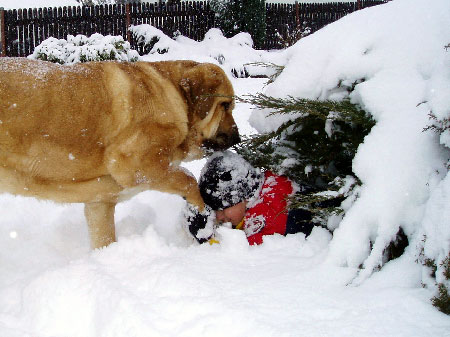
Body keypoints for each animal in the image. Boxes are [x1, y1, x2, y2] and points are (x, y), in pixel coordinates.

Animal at [0, 57, 241, 247]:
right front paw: (202, 218)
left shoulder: (100, 203)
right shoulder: (137, 166)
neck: (173, 96)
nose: (238, 138)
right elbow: (188, 180)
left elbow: (104, 240)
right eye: (226, 106)